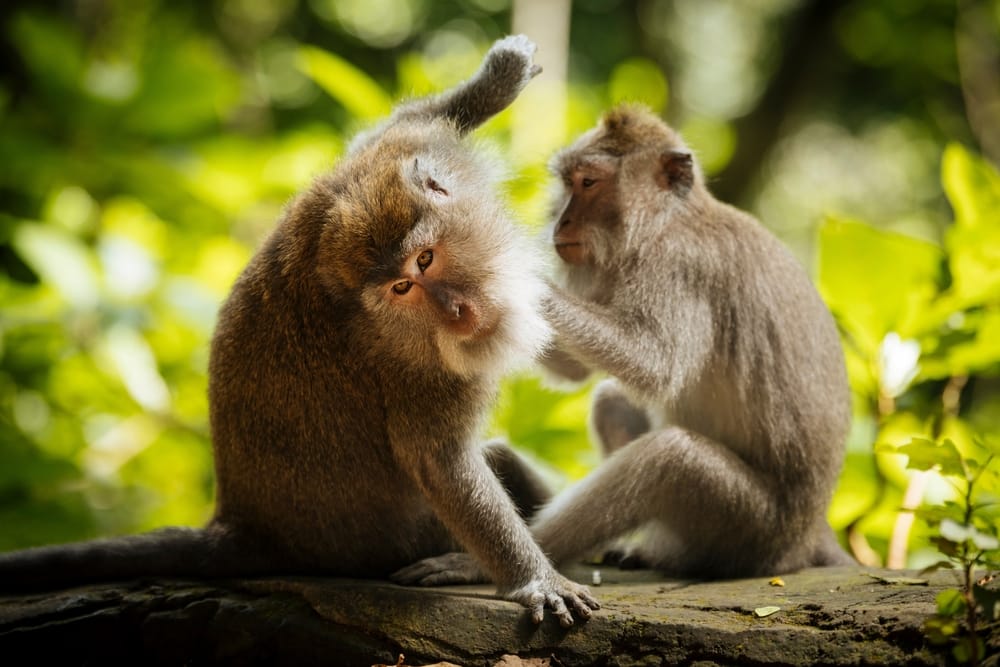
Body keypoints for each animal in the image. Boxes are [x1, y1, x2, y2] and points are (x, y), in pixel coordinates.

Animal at [0, 35, 599, 627]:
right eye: (402, 288)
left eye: (425, 259)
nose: (456, 313)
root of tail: (245, 524)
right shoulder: (412, 366)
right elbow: (442, 464)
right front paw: (532, 578)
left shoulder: (393, 155)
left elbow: (387, 129)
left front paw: (496, 81)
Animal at [392, 104, 856, 588]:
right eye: (568, 183)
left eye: (589, 182)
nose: (560, 220)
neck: (667, 222)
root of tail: (809, 535)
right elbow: (576, 370)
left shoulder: (679, 265)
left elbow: (654, 364)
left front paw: (515, 273)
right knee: (612, 402)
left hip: (754, 527)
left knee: (668, 459)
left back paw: (491, 563)